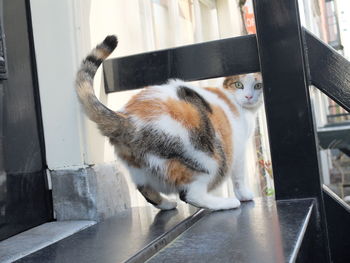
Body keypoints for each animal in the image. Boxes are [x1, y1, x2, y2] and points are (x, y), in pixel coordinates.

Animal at [76, 36, 262, 211]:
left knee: (146, 190)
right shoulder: (239, 148)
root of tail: (128, 119)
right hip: (205, 160)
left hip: (138, 169)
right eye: (239, 84)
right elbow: (239, 176)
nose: (249, 96)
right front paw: (244, 195)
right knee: (190, 194)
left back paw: (167, 204)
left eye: (258, 85)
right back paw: (226, 203)